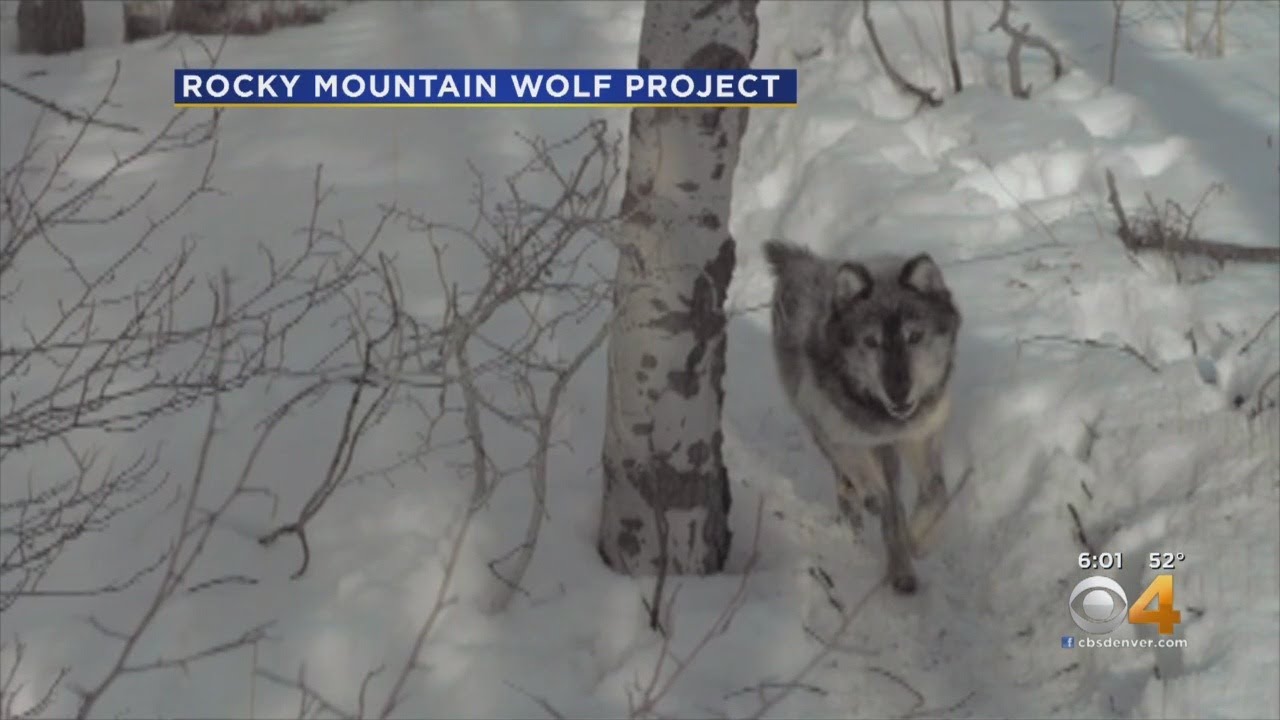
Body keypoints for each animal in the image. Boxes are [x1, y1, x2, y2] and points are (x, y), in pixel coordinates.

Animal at [761, 240, 961, 594]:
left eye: (914, 336)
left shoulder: (920, 435)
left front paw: (919, 539)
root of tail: (802, 262)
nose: (898, 393)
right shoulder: (840, 434)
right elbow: (879, 492)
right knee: (850, 485)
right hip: (816, 425)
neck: (885, 418)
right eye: (871, 342)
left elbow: (935, 493)